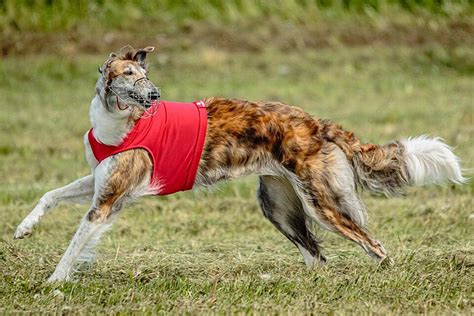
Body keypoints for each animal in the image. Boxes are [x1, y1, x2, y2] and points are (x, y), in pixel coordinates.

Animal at [12, 45, 466, 282]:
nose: (155, 95)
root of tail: (318, 122)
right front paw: (23, 229)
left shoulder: (108, 201)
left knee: (376, 246)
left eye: (145, 73)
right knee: (317, 257)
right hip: (278, 204)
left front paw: (53, 285)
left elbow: (73, 247)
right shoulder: (99, 182)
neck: (119, 123)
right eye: (127, 74)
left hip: (323, 204)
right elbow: (50, 194)